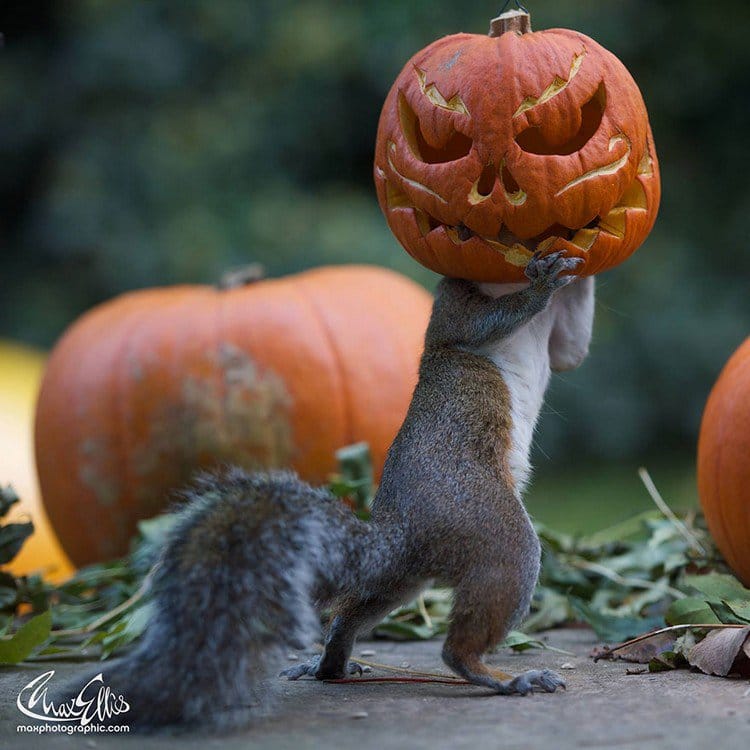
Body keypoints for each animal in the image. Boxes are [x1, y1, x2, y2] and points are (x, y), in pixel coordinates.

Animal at [61, 250, 596, 732]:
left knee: (352, 615)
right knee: (457, 646)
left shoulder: (557, 340)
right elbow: (481, 324)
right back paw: (505, 677)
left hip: (400, 580)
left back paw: (332, 666)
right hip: (496, 533)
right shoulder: (452, 305)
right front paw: (542, 281)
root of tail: (400, 535)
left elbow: (571, 348)